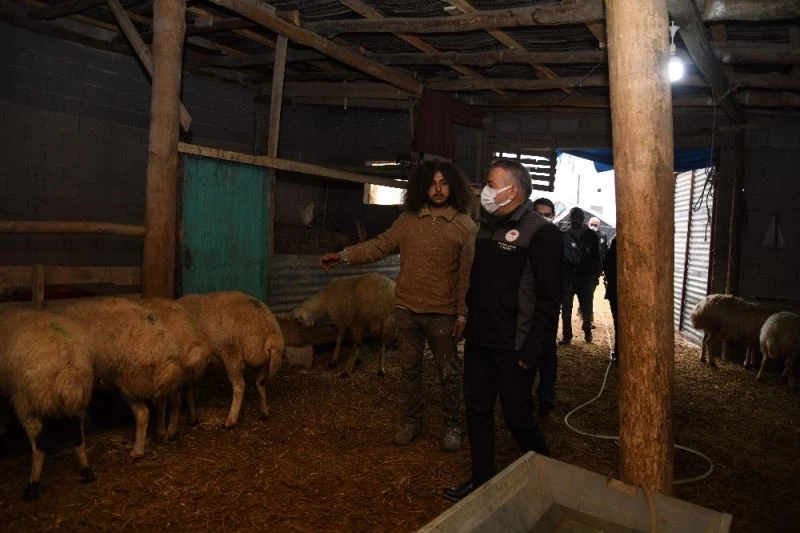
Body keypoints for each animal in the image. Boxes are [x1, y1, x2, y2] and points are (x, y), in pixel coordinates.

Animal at [0, 309, 95, 500]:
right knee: (78, 436)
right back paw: (86, 470)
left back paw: (32, 486)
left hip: (28, 404)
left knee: (39, 446)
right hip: (76, 407)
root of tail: (68, 368)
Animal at [58, 298, 184, 458]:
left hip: (130, 381)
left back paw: (137, 451)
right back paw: (166, 432)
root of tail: (164, 347)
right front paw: (87, 420)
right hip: (161, 379)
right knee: (172, 400)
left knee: (143, 413)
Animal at [139, 298, 214, 440]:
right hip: (186, 372)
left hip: (166, 372)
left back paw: (166, 432)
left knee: (170, 400)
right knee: (188, 393)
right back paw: (192, 419)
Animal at [178, 292, 285, 428]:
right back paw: (264, 412)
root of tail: (271, 333)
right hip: (261, 362)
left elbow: (189, 389)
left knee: (240, 386)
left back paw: (231, 420)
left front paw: (192, 418)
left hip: (232, 355)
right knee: (260, 383)